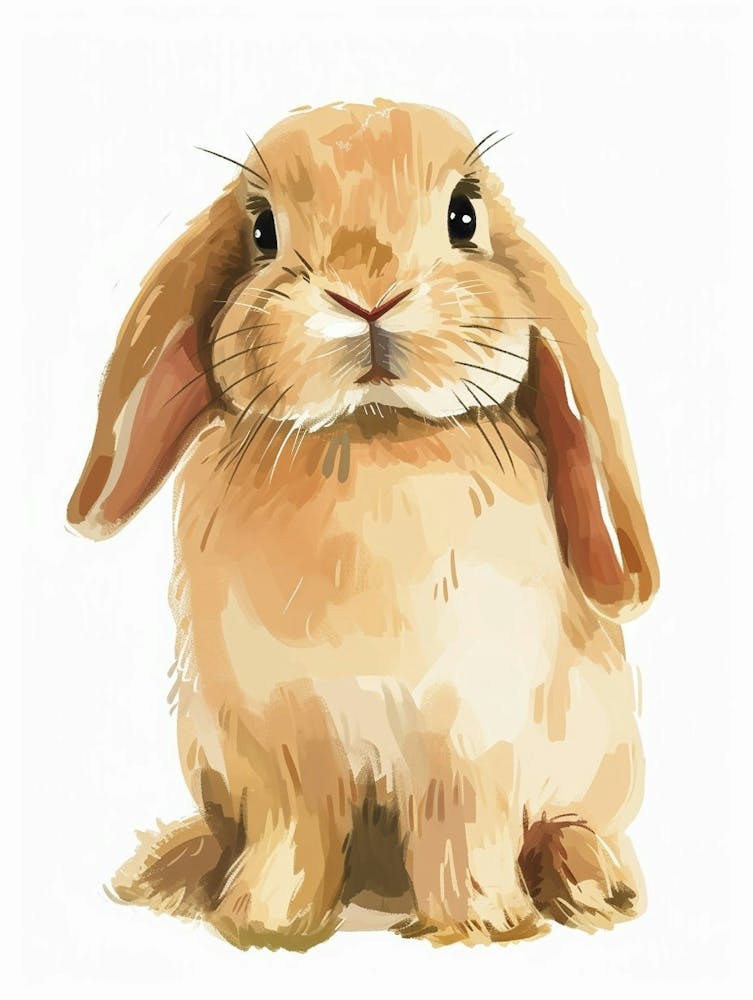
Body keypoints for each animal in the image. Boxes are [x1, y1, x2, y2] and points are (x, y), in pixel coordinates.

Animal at [68, 99, 659, 951]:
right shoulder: (279, 747)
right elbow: (291, 837)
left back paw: (594, 885)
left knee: (563, 823)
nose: (367, 294)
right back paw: (167, 871)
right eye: (261, 231)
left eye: (463, 215)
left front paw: (480, 926)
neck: (372, 435)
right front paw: (262, 923)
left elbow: (462, 832)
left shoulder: (469, 744)